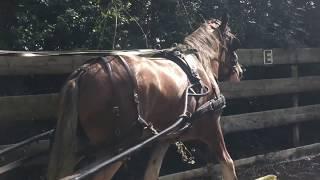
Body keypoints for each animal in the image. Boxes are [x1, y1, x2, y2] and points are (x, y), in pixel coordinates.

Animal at [47, 16, 242, 180]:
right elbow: (228, 164)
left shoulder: (165, 138)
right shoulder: (212, 127)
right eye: (233, 42)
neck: (200, 65)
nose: (240, 71)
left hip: (78, 148)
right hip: (116, 150)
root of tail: (83, 73)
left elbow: (151, 173)